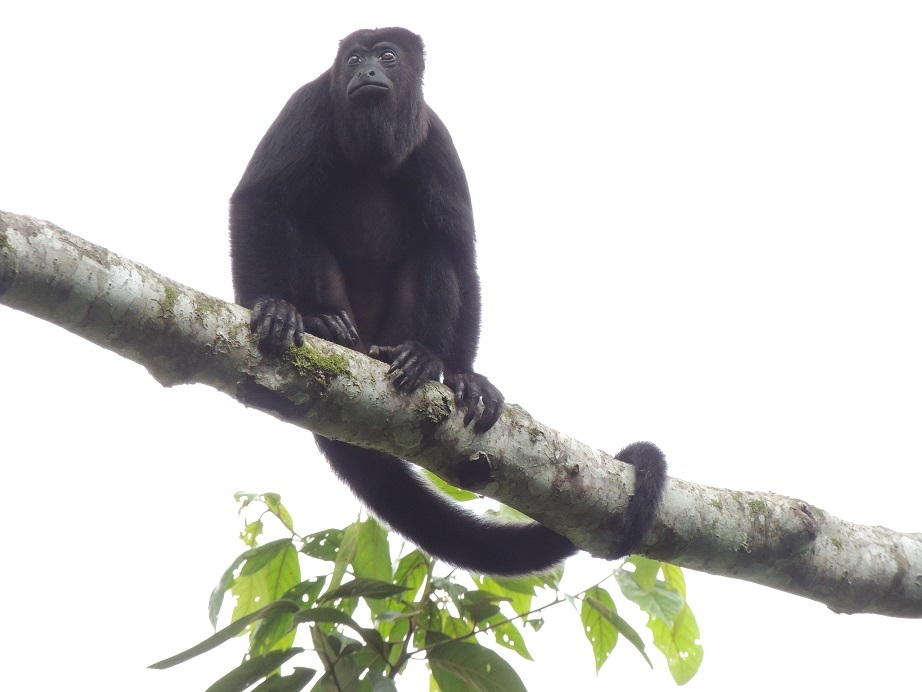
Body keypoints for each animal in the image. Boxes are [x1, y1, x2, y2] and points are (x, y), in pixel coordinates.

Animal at [229, 27, 667, 574]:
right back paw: (322, 325)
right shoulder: (305, 106)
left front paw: (465, 376)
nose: (366, 71)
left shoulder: (437, 139)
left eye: (388, 57)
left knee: (433, 253)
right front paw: (270, 307)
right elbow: (258, 199)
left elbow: (458, 250)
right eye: (353, 58)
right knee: (297, 222)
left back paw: (423, 358)